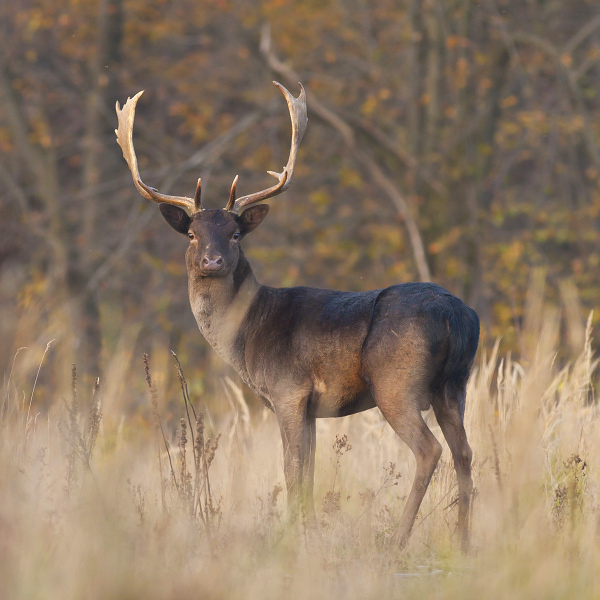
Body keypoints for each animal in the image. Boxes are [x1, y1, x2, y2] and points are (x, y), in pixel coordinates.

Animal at [116, 82, 478, 552]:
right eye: (192, 234)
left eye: (235, 233)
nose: (213, 261)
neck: (249, 335)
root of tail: (457, 315)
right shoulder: (311, 407)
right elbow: (308, 471)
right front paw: (309, 531)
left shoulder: (287, 390)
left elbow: (290, 469)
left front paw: (293, 537)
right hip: (454, 385)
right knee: (465, 452)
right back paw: (463, 542)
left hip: (396, 382)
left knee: (429, 450)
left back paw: (398, 541)